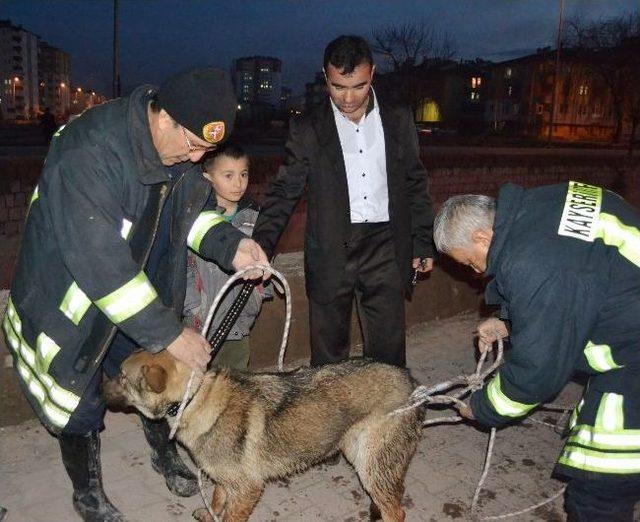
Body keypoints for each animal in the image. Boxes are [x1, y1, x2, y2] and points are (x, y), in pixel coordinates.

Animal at [104, 350, 424, 520]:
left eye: (122, 377)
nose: (97, 389)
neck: (194, 398)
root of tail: (413, 383)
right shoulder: (225, 480)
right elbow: (217, 499)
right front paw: (209, 514)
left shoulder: (249, 488)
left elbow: (230, 515)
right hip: (362, 457)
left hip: (372, 467)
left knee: (397, 512)